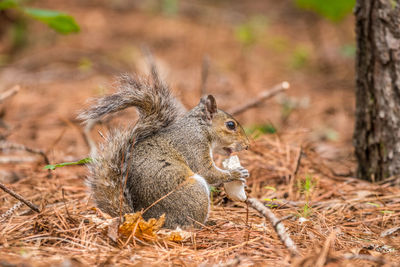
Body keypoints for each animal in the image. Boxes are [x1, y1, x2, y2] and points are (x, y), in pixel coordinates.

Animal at [79, 68, 250, 229]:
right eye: (230, 125)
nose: (247, 145)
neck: (199, 128)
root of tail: (145, 219)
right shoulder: (193, 146)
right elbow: (207, 171)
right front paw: (236, 173)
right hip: (194, 192)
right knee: (190, 224)